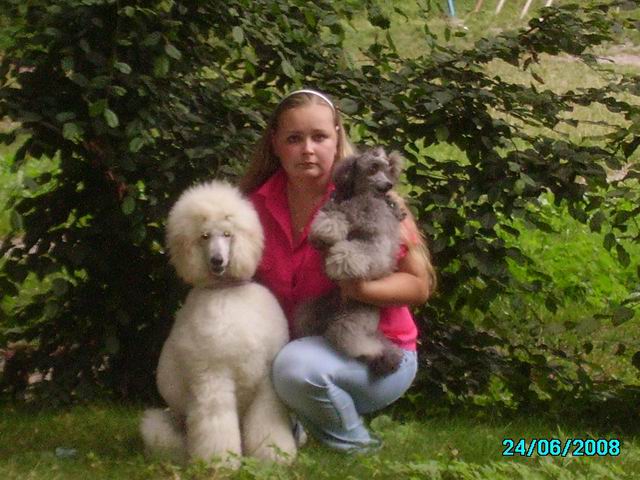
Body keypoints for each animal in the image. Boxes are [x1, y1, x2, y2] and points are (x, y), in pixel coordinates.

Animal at [140, 181, 296, 467]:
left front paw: (273, 456)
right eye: (204, 236)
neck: (226, 292)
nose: (217, 261)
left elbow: (268, 420)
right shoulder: (212, 378)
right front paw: (220, 463)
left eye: (227, 234)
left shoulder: (266, 383)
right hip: (163, 426)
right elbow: (216, 424)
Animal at [295, 147, 406, 375]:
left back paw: (370, 351)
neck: (361, 198)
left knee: (346, 333)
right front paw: (325, 234)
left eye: (387, 169)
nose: (388, 185)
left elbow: (357, 250)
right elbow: (332, 218)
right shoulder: (336, 206)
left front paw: (340, 262)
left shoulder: (377, 243)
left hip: (357, 315)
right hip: (312, 310)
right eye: (373, 168)